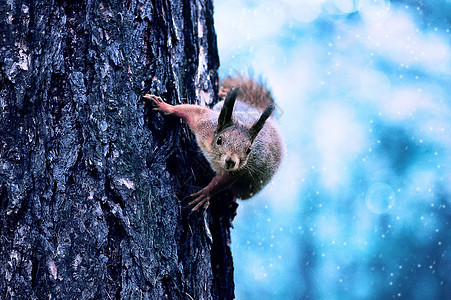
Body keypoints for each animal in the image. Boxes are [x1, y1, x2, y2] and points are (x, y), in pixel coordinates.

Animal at [143, 77, 284, 211]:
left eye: (249, 150)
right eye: (219, 140)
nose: (231, 161)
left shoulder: (237, 171)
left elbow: (221, 183)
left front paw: (205, 194)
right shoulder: (204, 125)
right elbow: (191, 111)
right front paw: (165, 106)